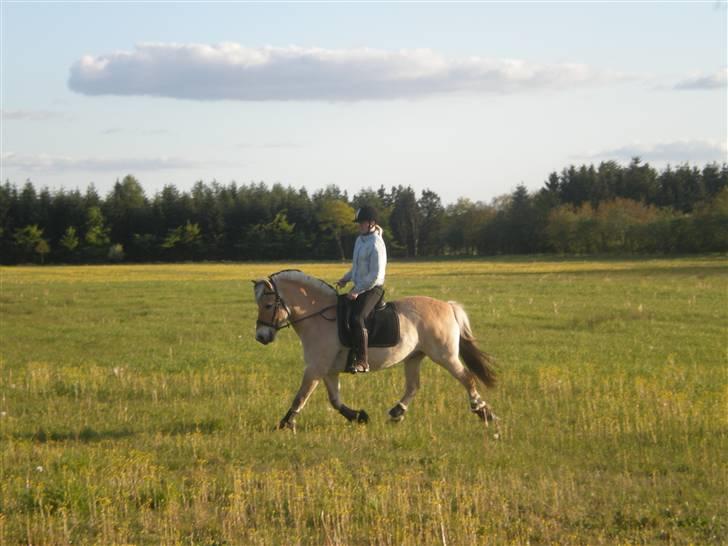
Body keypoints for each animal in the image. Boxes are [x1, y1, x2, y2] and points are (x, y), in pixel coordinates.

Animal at [253, 268, 498, 430]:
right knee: (413, 386)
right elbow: (334, 400)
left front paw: (285, 423)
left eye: (268, 305)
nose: (261, 337)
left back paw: (483, 412)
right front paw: (359, 416)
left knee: (467, 378)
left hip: (444, 355)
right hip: (414, 356)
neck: (318, 316)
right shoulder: (327, 370)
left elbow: (301, 396)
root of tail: (448, 306)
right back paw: (397, 413)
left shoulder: (315, 367)